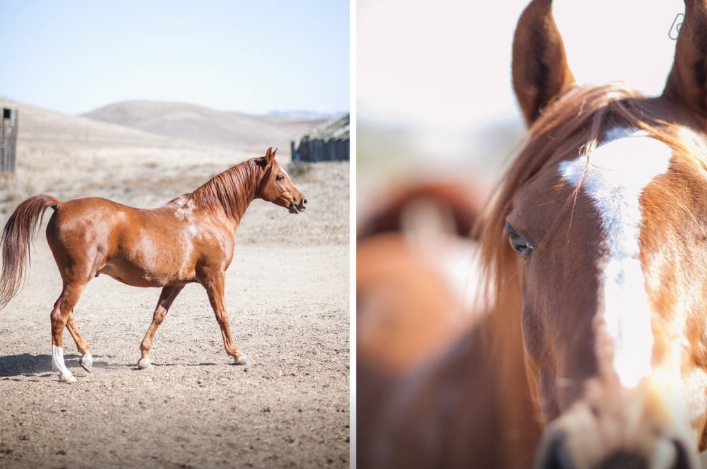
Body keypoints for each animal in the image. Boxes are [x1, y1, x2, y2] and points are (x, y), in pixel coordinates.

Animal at [0, 148, 306, 382]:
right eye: (280, 176)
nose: (302, 201)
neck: (209, 215)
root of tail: (61, 205)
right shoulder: (214, 277)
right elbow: (222, 314)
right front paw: (237, 355)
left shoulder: (175, 283)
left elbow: (158, 315)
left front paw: (144, 357)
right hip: (78, 278)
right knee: (59, 314)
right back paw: (64, 372)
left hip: (74, 278)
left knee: (66, 314)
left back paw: (86, 357)